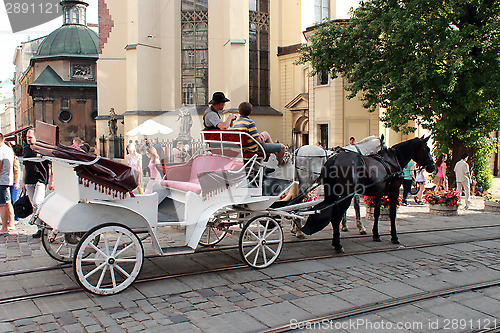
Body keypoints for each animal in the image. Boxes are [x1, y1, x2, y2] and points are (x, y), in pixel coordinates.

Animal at [300, 135, 434, 252]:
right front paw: (394, 236)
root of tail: (334, 158)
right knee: (337, 215)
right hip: (345, 194)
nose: (432, 166)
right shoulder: (393, 191)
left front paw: (375, 234)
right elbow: (391, 214)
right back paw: (337, 244)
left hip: (334, 193)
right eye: (427, 149)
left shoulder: (378, 193)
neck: (391, 161)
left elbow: (376, 213)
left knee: (334, 214)